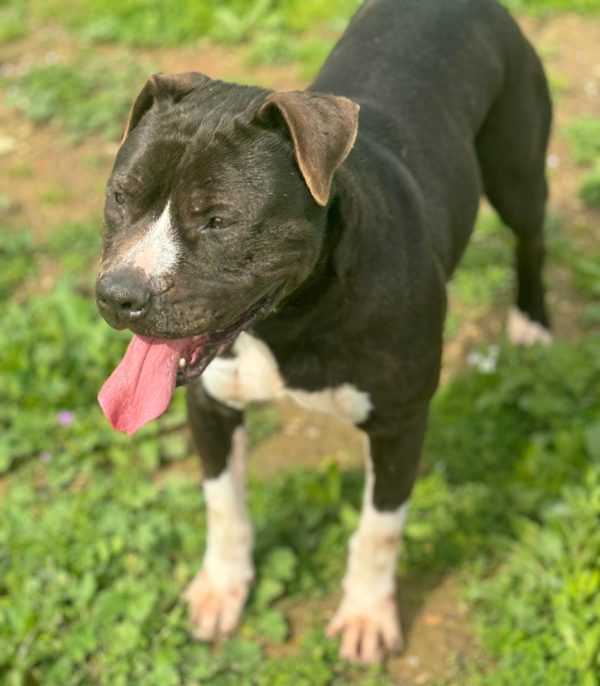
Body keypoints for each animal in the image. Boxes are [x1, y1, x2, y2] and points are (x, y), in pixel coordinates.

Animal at [95, 0, 552, 664]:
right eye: (119, 197)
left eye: (219, 220)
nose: (117, 295)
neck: (290, 320)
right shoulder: (212, 406)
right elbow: (224, 506)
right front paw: (222, 590)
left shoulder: (400, 421)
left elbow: (378, 529)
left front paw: (366, 615)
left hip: (517, 168)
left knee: (531, 238)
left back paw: (531, 323)